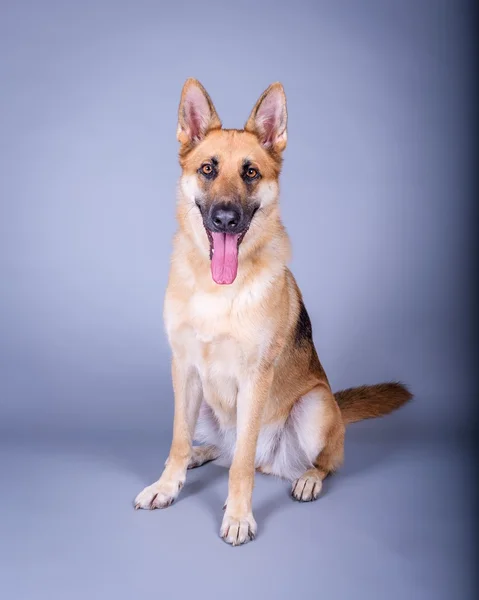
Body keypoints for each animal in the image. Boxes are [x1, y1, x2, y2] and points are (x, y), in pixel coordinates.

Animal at [135, 79, 412, 548]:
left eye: (251, 173)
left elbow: (242, 465)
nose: (225, 218)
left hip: (316, 407)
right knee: (219, 446)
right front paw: (168, 484)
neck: (218, 289)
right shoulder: (184, 369)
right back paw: (201, 454)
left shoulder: (255, 379)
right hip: (202, 400)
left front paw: (239, 516)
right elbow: (177, 439)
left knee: (311, 460)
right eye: (207, 169)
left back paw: (308, 478)